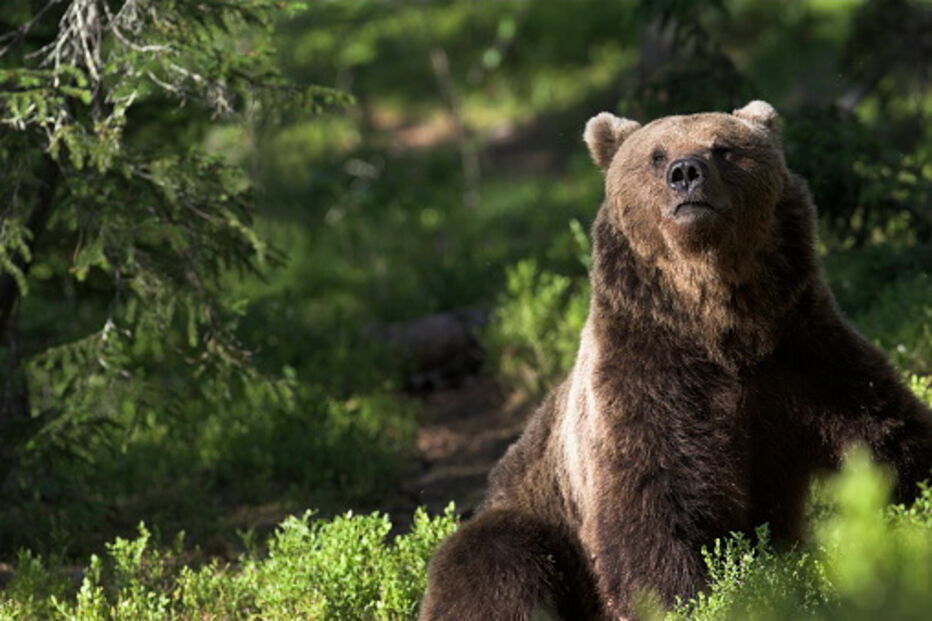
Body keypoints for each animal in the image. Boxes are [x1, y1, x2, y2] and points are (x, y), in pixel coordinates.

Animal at [418, 101, 932, 620]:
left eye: (723, 148)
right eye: (656, 154)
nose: (685, 173)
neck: (722, 327)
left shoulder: (803, 354)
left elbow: (887, 433)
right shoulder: (645, 380)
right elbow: (650, 504)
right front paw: (685, 599)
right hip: (528, 512)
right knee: (496, 561)